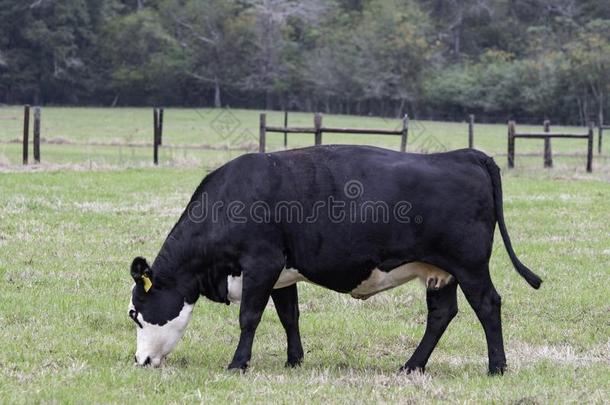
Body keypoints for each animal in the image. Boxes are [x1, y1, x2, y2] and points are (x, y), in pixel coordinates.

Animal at [127, 144, 536, 372]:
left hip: (469, 266)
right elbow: (289, 316)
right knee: (441, 314)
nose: (140, 361)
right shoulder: (281, 272)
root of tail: (465, 154)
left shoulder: (261, 263)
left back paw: (496, 367)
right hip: (440, 271)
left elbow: (249, 318)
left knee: (488, 306)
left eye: (135, 314)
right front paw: (294, 360)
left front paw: (238, 363)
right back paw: (411, 366)